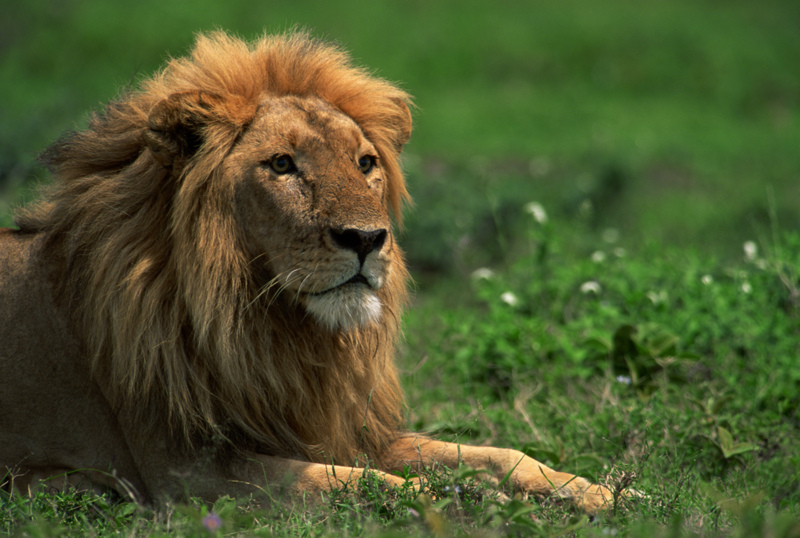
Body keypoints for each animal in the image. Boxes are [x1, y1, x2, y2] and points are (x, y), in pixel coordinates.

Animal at [0, 31, 616, 513]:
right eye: (281, 164)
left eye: (365, 163)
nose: (366, 239)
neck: (278, 330)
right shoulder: (185, 473)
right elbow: (354, 484)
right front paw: (456, 500)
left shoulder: (342, 426)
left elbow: (496, 454)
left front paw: (604, 492)